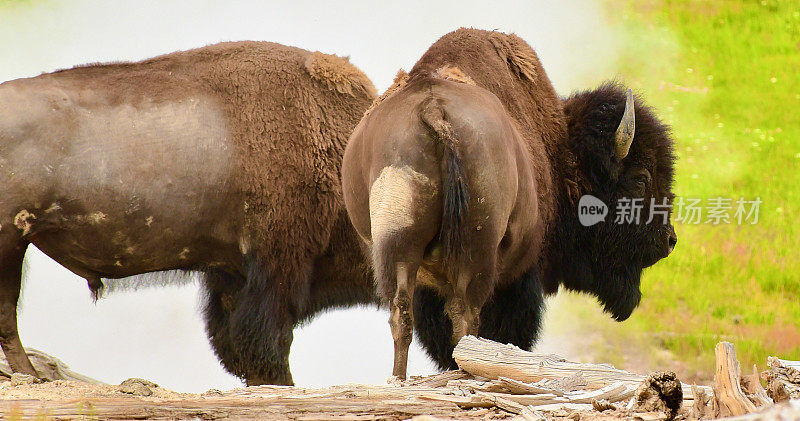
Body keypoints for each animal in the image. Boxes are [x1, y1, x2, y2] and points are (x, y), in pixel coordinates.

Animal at [340, 28, 680, 378]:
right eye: (640, 178)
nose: (669, 240)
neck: (559, 150)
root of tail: (433, 111)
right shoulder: (520, 277)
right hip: (475, 253)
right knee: (466, 320)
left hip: (397, 247)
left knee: (402, 317)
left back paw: (399, 380)